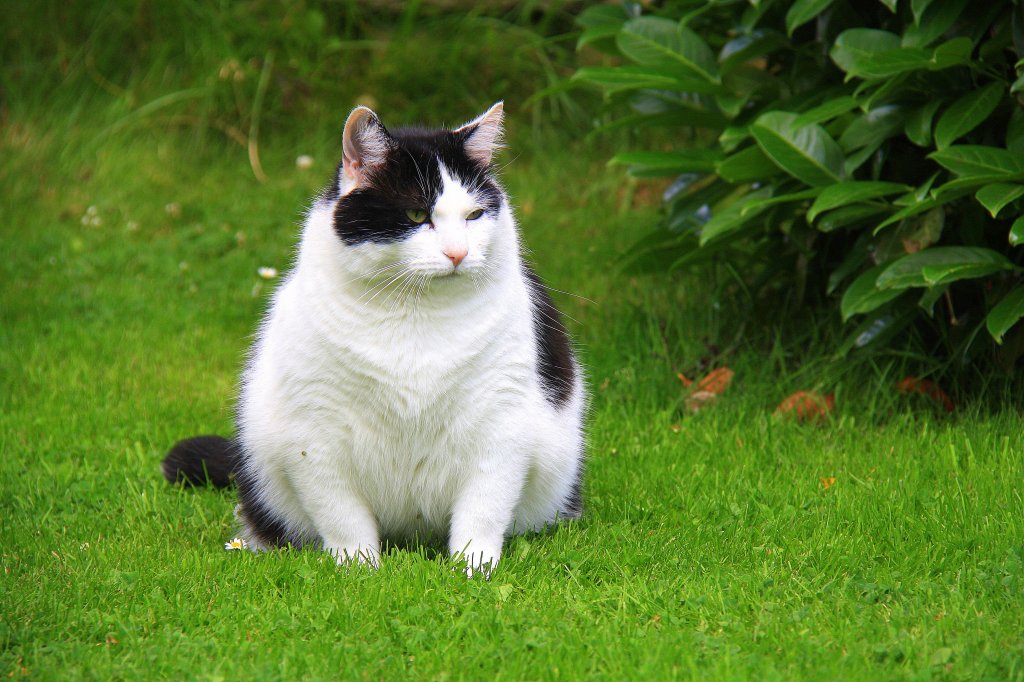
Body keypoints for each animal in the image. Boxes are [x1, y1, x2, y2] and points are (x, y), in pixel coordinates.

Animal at [163, 99, 589, 569]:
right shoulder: (314, 434)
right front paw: (358, 569)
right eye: (417, 214)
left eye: (475, 215)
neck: (415, 315)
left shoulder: (501, 422)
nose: (458, 253)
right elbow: (341, 515)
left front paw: (472, 568)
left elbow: (483, 508)